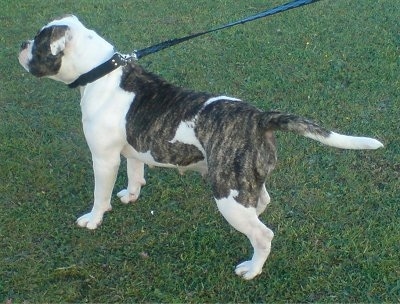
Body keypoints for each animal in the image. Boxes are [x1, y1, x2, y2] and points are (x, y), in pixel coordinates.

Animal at [19, 14, 384, 280]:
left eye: (39, 41)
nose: (21, 44)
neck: (102, 73)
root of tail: (259, 117)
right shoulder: (133, 149)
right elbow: (135, 173)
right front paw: (131, 195)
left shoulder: (103, 159)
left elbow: (100, 195)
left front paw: (94, 219)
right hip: (244, 182)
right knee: (261, 203)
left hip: (226, 192)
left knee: (263, 236)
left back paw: (252, 269)